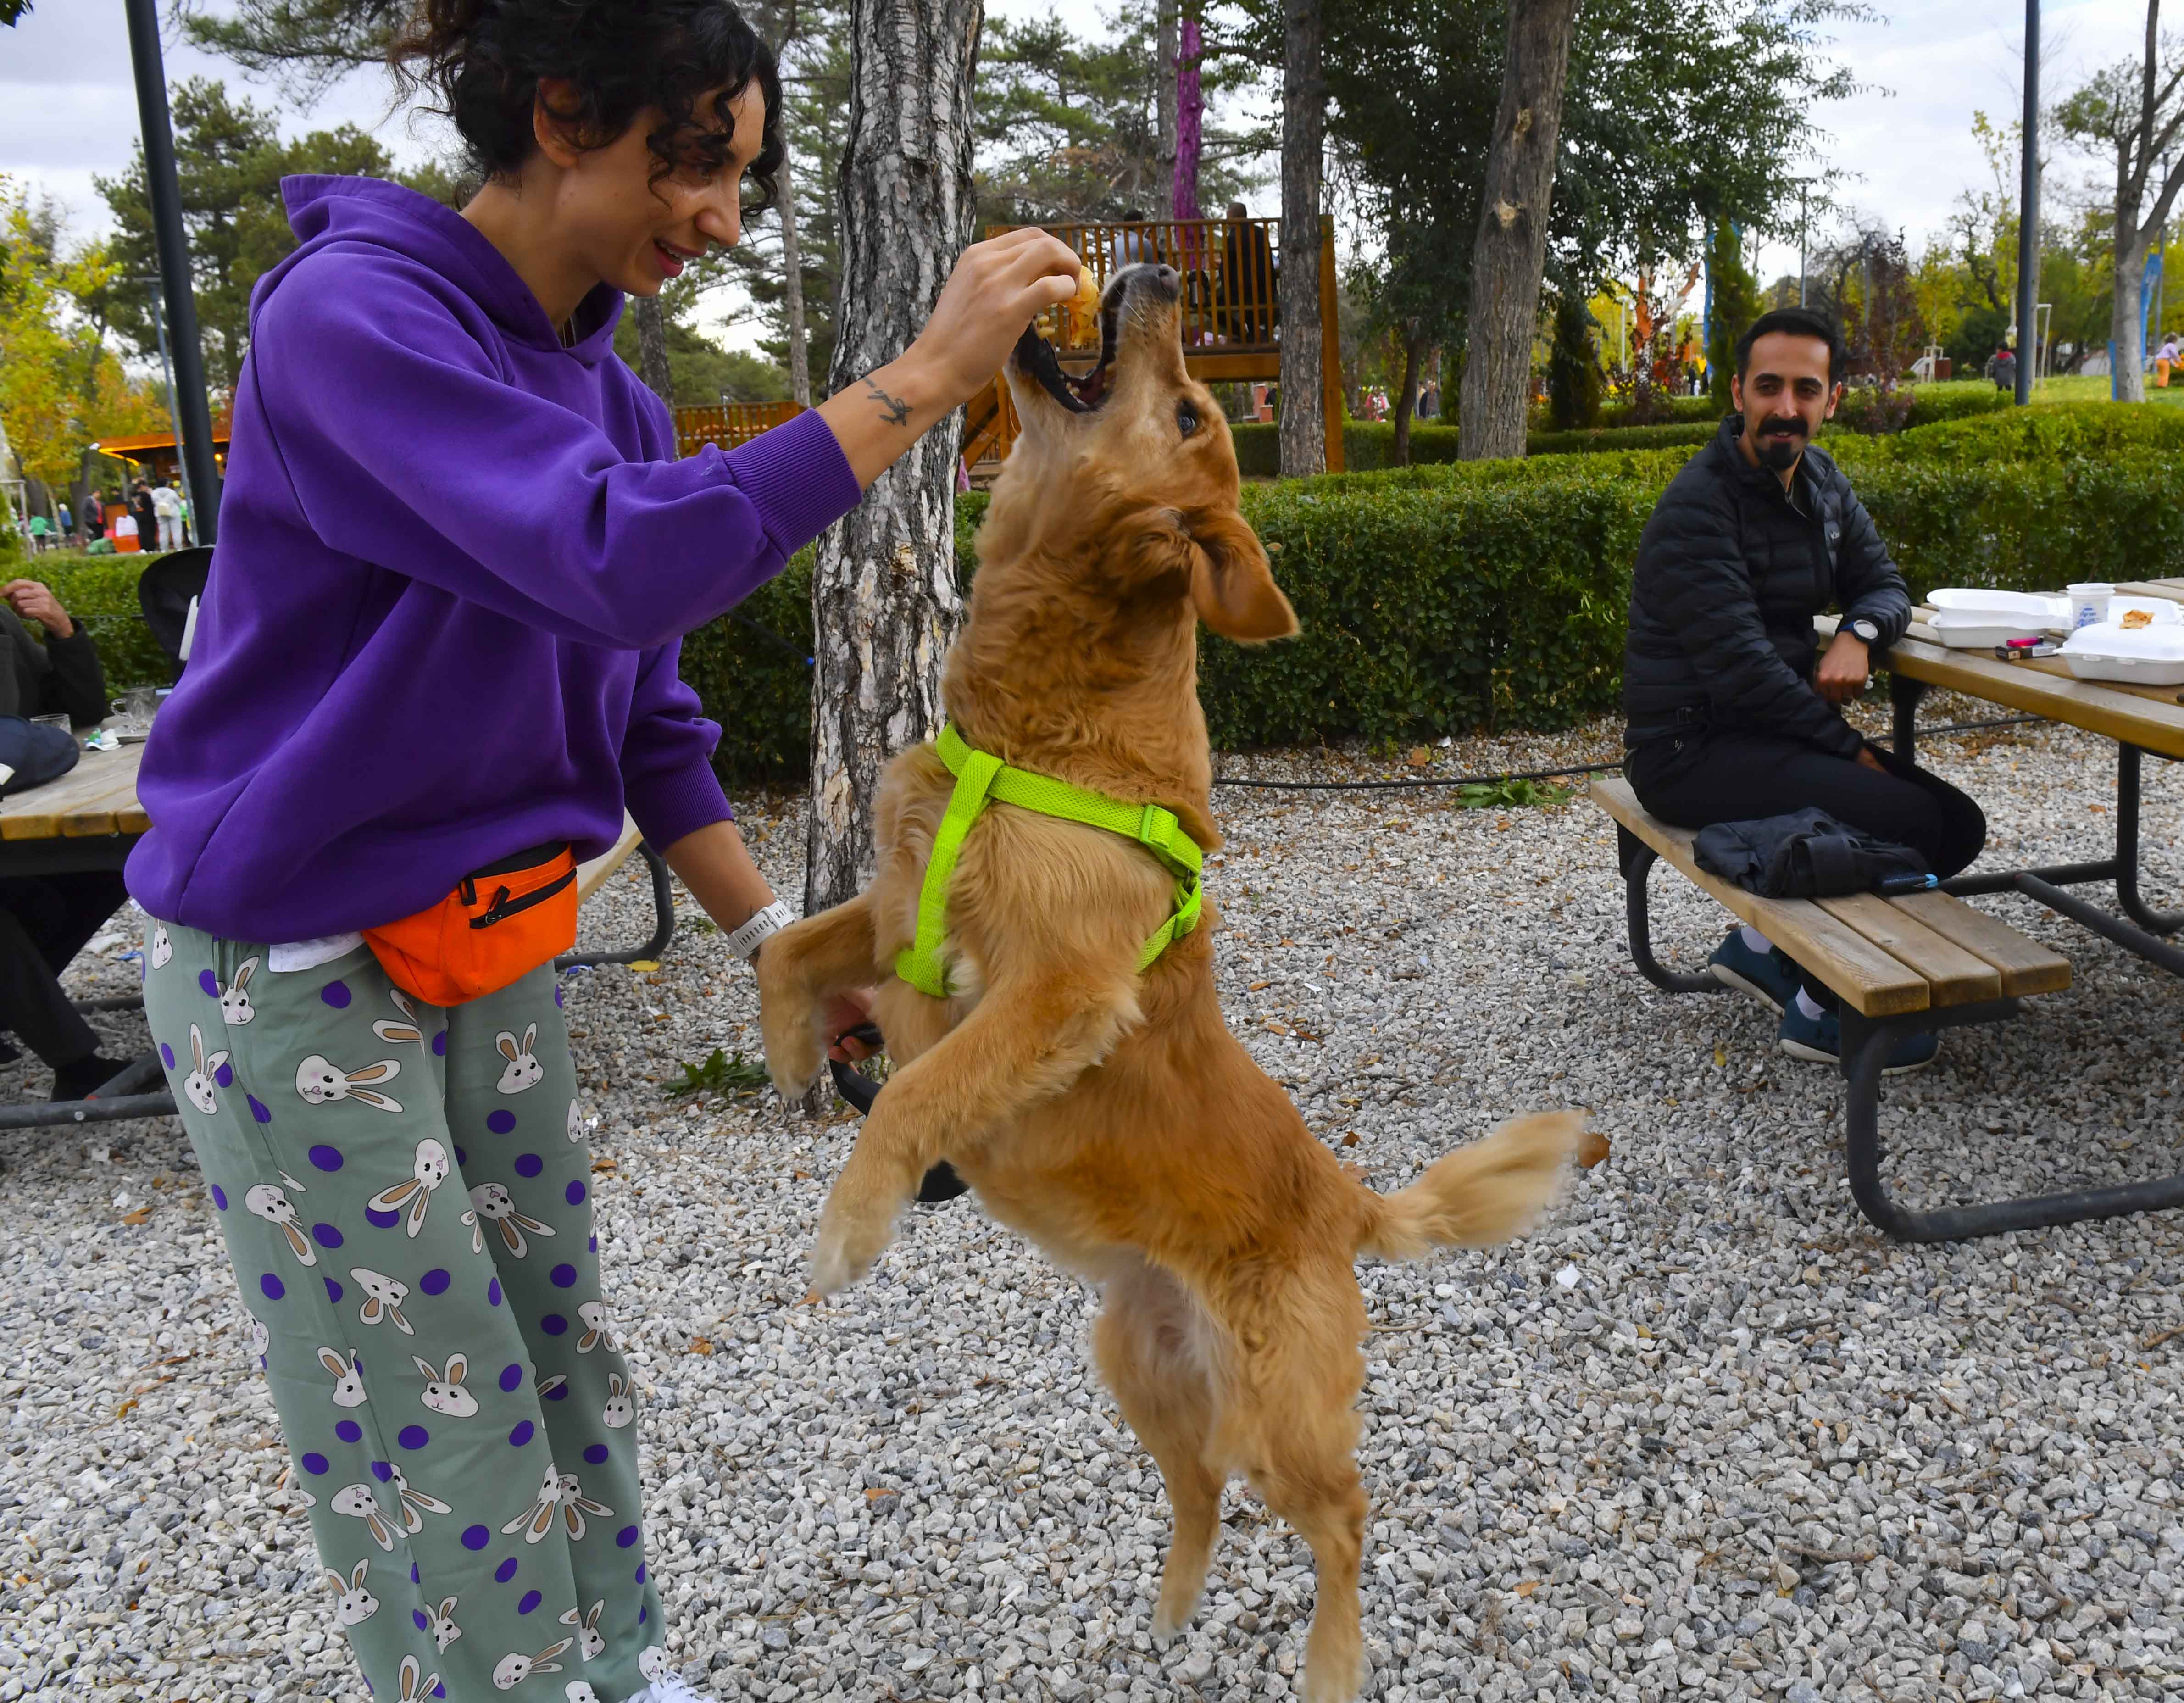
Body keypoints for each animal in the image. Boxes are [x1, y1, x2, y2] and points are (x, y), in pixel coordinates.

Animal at [760, 266, 1581, 1703]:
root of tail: (1346, 1203)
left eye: (1194, 406)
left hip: (1278, 1414)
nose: (1155, 276)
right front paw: (801, 1052)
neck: (1041, 737)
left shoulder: (1059, 992)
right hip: (1135, 1365)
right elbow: (788, 950)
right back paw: (1175, 1602)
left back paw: (1331, 1663)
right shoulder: (891, 907)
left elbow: (918, 1088)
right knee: (1200, 1491)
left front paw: (851, 1227)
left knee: (1340, 1516)